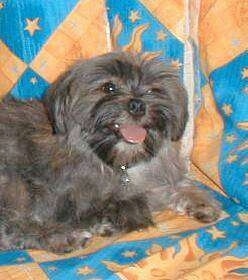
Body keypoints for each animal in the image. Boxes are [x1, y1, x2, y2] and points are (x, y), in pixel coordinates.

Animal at [0, 51, 221, 253]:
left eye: (153, 90)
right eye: (109, 87)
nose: (137, 105)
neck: (119, 163)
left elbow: (176, 185)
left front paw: (200, 201)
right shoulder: (65, 198)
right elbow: (131, 204)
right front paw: (103, 223)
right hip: (14, 184)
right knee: (15, 227)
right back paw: (64, 236)